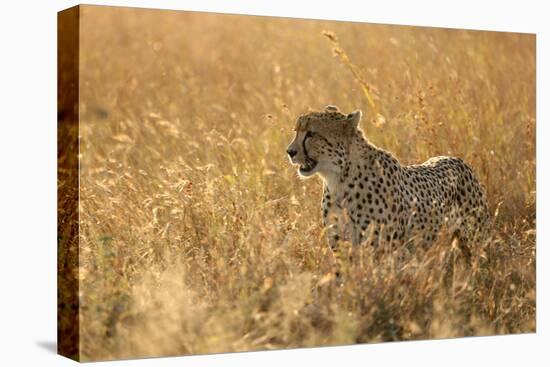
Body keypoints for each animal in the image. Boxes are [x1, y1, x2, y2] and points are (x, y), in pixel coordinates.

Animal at [288, 105, 492, 252]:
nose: (289, 152)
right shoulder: (343, 246)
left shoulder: (381, 249)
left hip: (476, 238)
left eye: (311, 134)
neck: (339, 179)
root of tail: (455, 158)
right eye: (296, 131)